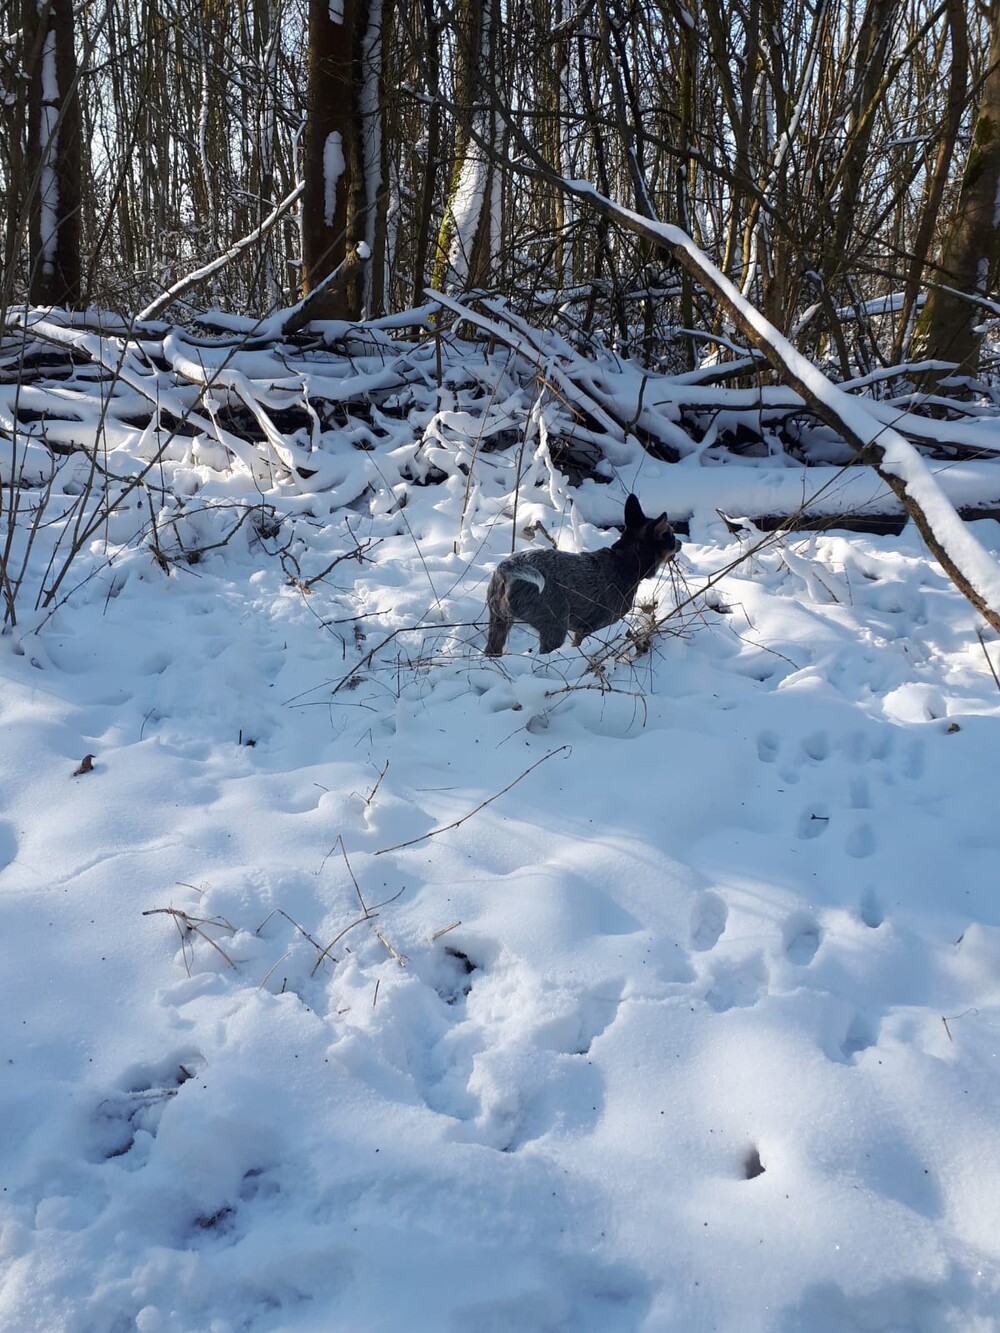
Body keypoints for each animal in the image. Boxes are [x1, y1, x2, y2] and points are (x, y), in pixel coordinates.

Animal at [484, 494, 680, 655]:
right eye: (669, 535)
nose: (679, 542)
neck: (624, 563)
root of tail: (506, 568)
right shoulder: (594, 627)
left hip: (499, 620)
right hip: (555, 624)